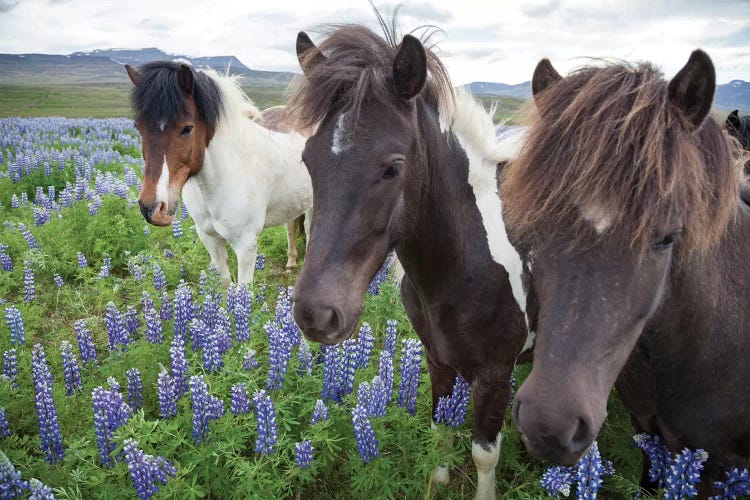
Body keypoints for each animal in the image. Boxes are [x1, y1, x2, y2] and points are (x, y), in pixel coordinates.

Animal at [126, 60, 312, 284]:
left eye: (187, 128)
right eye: (138, 127)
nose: (151, 207)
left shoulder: (245, 245)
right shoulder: (209, 239)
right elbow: (224, 284)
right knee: (292, 225)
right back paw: (291, 262)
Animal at [286, 18, 528, 496]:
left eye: (393, 168)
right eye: (307, 159)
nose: (315, 314)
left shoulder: (496, 371)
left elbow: (484, 455)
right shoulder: (437, 357)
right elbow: (439, 433)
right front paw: (437, 482)